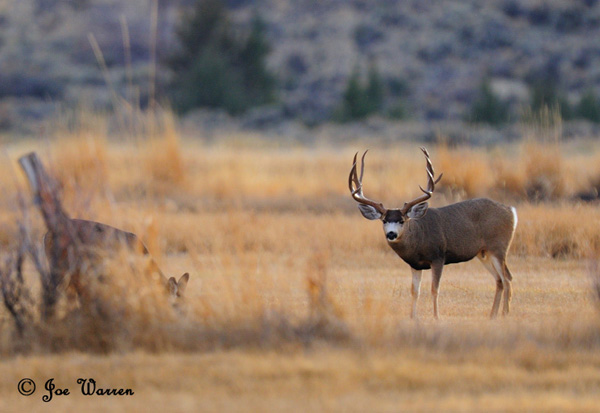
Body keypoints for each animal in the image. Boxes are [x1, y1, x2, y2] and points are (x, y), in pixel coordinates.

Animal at [350, 148, 516, 318]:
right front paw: (412, 316)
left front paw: (436, 316)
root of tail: (511, 211)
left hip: (498, 247)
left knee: (507, 278)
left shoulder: (438, 257)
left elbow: (434, 289)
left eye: (402, 220)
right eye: (384, 220)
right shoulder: (415, 264)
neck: (419, 238)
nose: (391, 234)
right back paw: (492, 315)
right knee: (499, 280)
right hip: (484, 253)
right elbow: (414, 291)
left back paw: (505, 314)